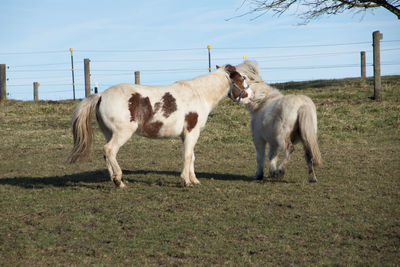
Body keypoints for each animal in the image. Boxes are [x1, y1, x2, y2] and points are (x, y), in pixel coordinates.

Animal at [70, 64, 248, 188]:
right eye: (241, 79)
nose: (248, 95)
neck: (199, 94)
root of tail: (101, 95)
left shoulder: (186, 134)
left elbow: (191, 156)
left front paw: (194, 180)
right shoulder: (192, 131)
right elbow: (187, 156)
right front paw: (186, 181)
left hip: (109, 133)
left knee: (107, 154)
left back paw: (117, 181)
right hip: (122, 133)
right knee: (109, 150)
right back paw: (119, 180)